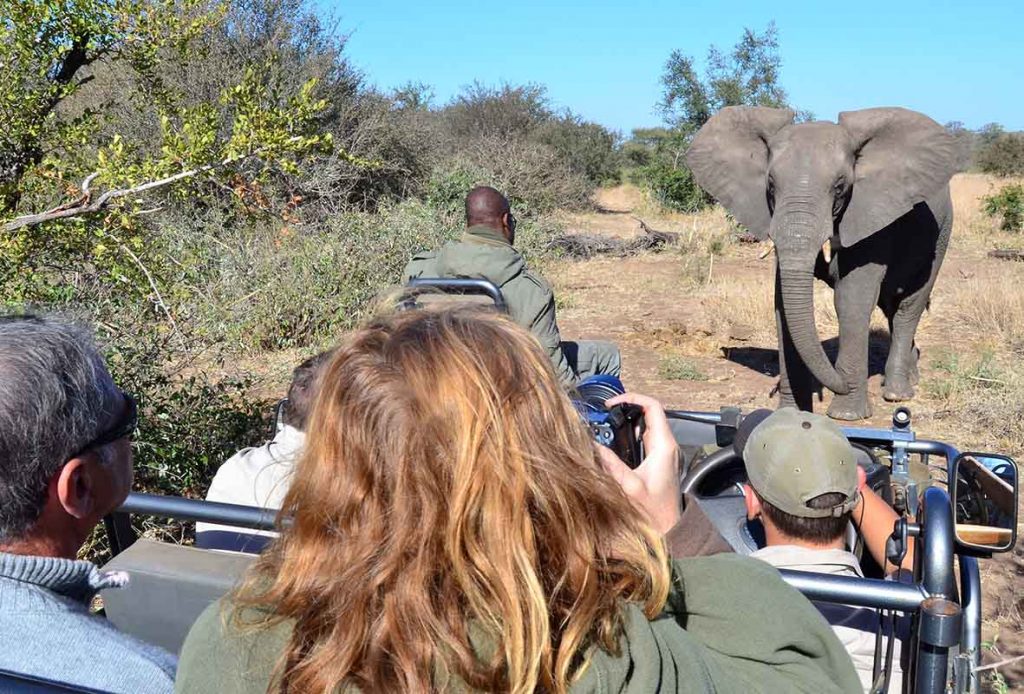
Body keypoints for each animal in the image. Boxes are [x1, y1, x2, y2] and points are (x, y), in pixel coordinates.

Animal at [686, 106, 958, 420]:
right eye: (770, 185)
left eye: (840, 187)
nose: (838, 383)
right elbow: (783, 304)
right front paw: (792, 414)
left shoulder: (871, 215)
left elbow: (850, 300)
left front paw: (846, 415)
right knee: (891, 306)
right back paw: (910, 376)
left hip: (942, 234)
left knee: (908, 307)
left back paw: (896, 393)